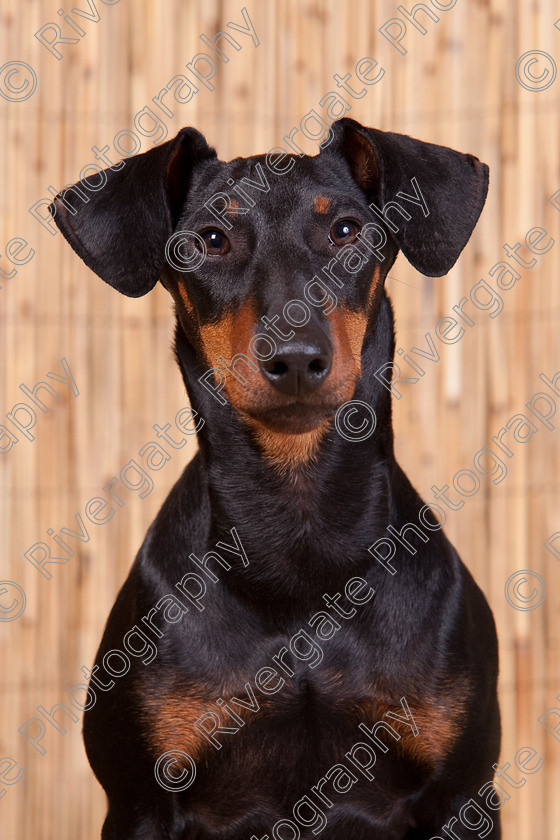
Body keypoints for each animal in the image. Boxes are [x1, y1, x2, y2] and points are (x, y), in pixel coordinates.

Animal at [50, 118, 500, 840]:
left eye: (346, 230)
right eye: (210, 239)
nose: (293, 357)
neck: (299, 534)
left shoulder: (463, 796)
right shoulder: (140, 802)